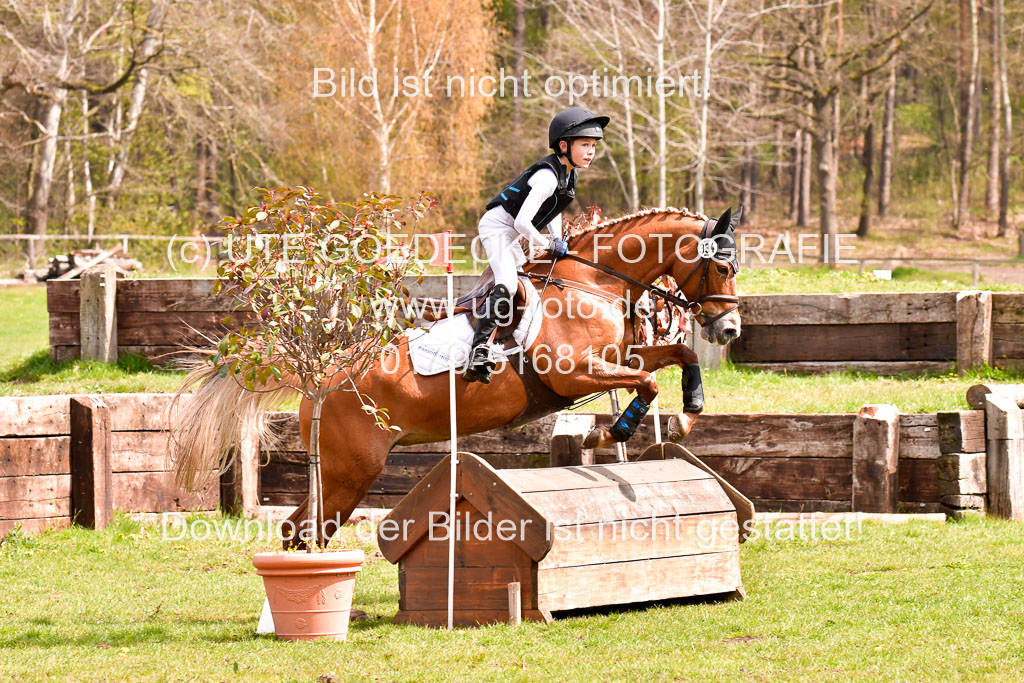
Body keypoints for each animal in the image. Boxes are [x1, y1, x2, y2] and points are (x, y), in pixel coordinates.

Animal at [172, 202, 741, 544]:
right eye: (722, 267)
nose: (730, 328)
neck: (593, 283)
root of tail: (322, 378)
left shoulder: (620, 359)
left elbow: (678, 358)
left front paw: (688, 414)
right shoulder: (573, 374)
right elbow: (646, 382)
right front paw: (611, 432)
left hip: (339, 472)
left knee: (299, 529)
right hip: (349, 471)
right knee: (309, 530)